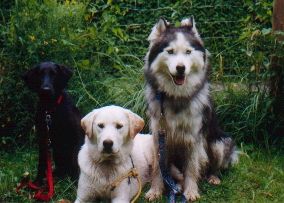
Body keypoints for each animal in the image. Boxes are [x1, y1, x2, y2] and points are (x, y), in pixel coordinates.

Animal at [143, 17, 239, 201]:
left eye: (188, 52)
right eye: (170, 51)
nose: (181, 68)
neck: (176, 96)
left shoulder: (194, 138)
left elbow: (192, 168)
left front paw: (191, 191)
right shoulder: (158, 137)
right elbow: (158, 169)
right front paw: (155, 190)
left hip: (219, 142)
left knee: (213, 166)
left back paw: (213, 177)